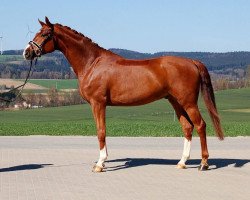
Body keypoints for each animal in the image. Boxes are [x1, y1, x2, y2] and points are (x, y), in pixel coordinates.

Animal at [23, 17, 223, 173]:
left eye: (45, 34)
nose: (27, 52)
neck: (92, 63)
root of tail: (192, 61)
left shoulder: (98, 103)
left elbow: (101, 132)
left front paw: (100, 164)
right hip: (176, 102)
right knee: (188, 127)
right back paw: (182, 162)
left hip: (188, 102)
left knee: (200, 125)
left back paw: (204, 163)